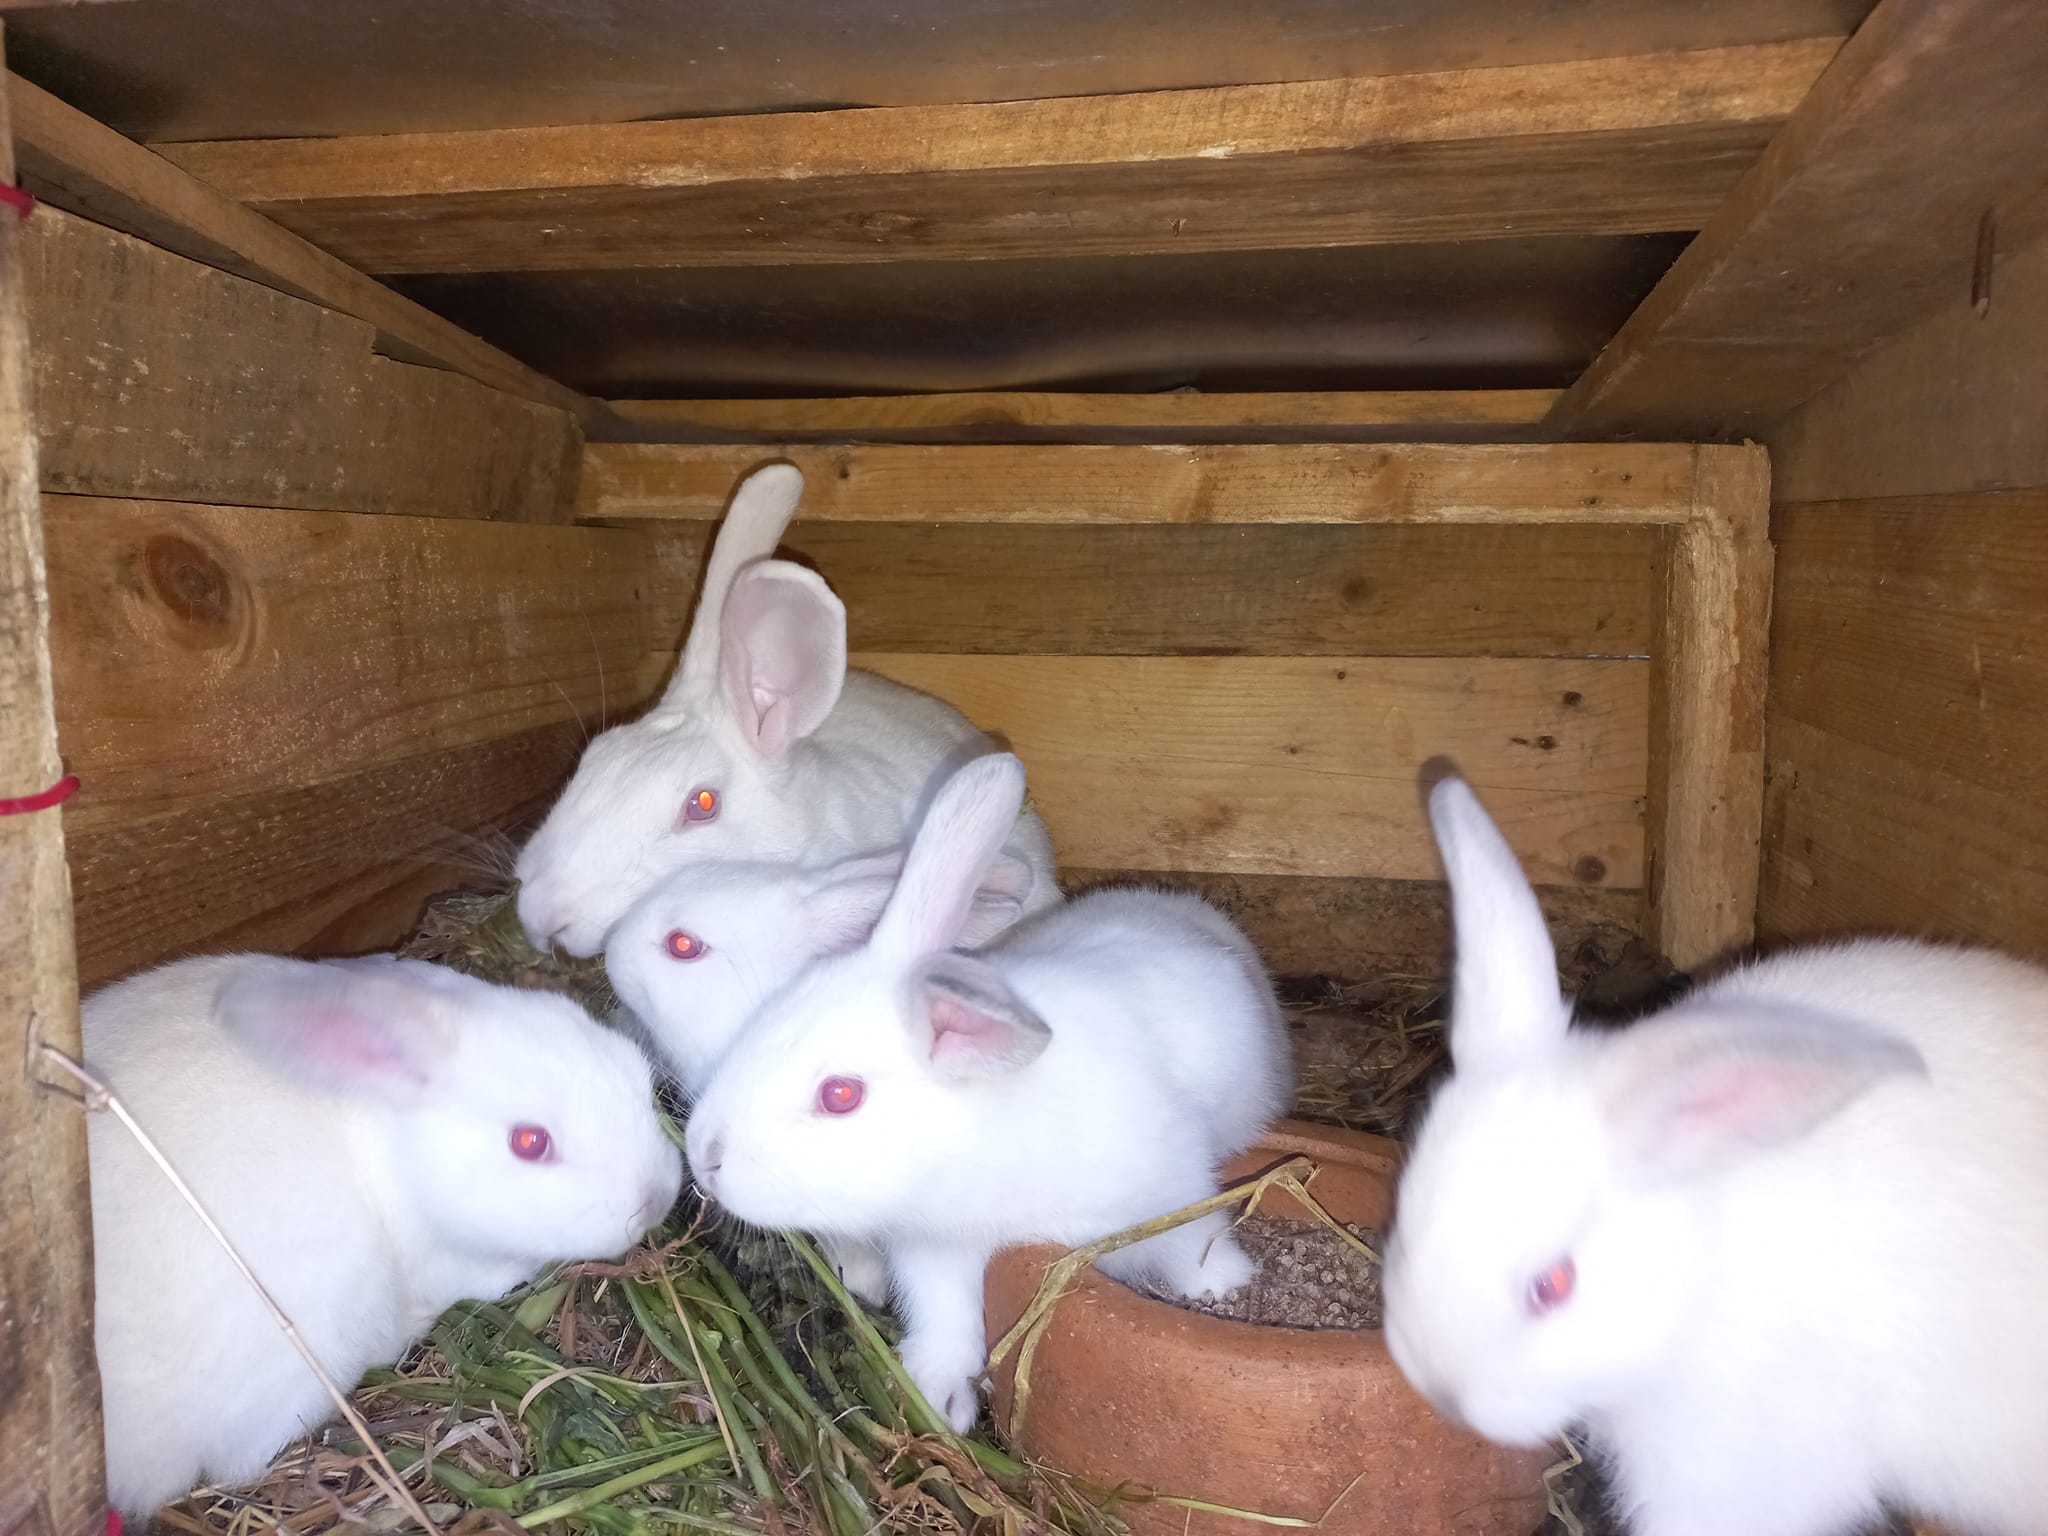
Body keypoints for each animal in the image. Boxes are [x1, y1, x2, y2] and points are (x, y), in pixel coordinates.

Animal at [681, 753, 1293, 1431]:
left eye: (840, 1095)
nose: (703, 1158)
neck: (977, 1137)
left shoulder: (1172, 1187)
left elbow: (1192, 1243)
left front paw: (1227, 1289)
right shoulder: (937, 1250)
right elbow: (945, 1316)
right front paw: (940, 1398)